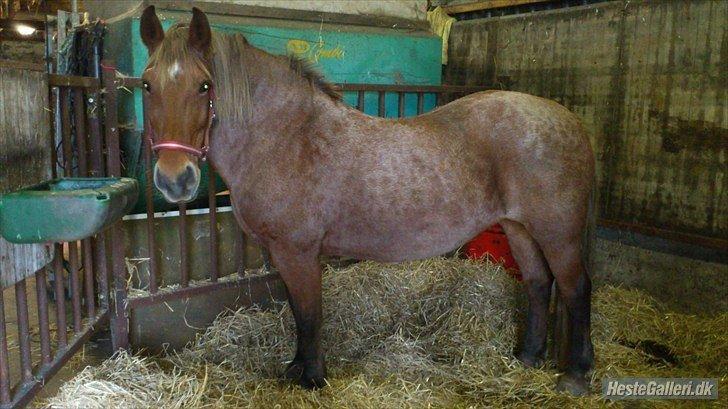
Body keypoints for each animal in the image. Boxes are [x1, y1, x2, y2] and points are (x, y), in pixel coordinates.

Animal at [139, 6, 596, 395]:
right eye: (146, 84)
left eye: (204, 86)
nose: (175, 179)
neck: (289, 138)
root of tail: (570, 119)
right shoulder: (283, 253)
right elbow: (297, 311)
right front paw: (296, 368)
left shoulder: (298, 252)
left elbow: (309, 314)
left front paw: (312, 377)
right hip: (519, 227)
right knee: (538, 283)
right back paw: (528, 357)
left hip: (557, 232)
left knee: (575, 288)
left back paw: (576, 375)